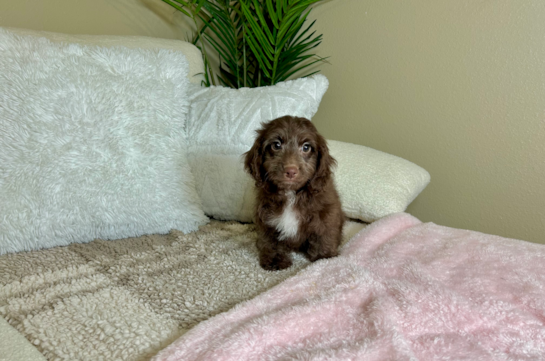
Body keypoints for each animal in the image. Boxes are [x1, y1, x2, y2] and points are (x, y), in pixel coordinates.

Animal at [243, 116, 344, 270]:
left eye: (306, 147)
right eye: (276, 145)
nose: (291, 171)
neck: (291, 194)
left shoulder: (326, 212)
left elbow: (324, 234)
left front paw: (324, 258)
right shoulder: (267, 218)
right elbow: (271, 240)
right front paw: (275, 261)